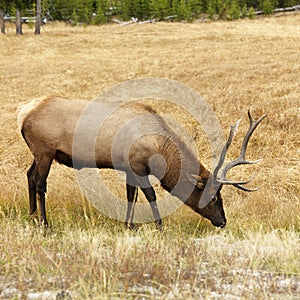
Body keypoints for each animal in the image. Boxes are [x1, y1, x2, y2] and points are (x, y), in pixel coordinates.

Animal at [17, 96, 266, 230]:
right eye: (213, 197)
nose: (223, 221)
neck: (157, 147)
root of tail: (23, 113)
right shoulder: (138, 166)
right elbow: (150, 195)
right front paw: (159, 226)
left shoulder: (128, 168)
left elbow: (130, 195)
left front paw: (129, 224)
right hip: (45, 150)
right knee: (40, 183)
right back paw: (44, 223)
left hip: (38, 153)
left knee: (29, 175)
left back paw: (30, 215)